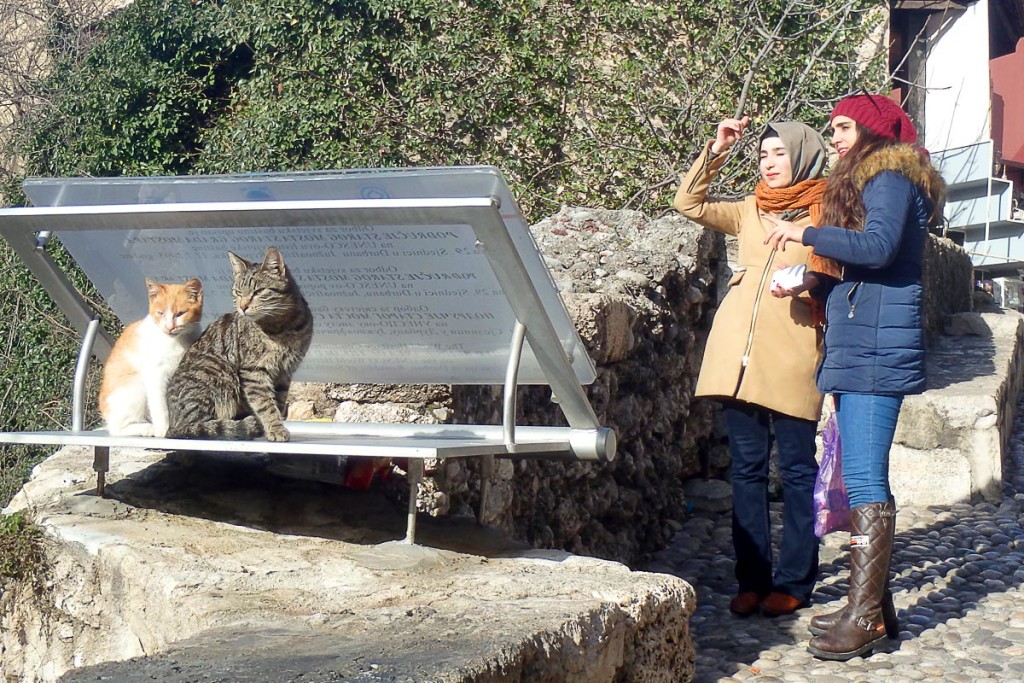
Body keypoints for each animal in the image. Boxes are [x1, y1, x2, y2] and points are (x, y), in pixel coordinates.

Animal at [99, 278, 203, 438]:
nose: (169, 327)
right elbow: (159, 403)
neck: (176, 341)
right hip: (136, 385)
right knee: (116, 429)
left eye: (180, 314)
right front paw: (163, 429)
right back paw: (148, 428)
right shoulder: (154, 373)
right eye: (160, 313)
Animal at [164, 248, 311, 440]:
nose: (242, 306)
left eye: (258, 291)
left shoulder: (285, 373)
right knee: (193, 426)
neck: (281, 327)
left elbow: (277, 401)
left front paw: (274, 425)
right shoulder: (254, 370)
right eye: (238, 292)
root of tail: (170, 424)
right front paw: (275, 428)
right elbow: (265, 404)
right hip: (218, 369)